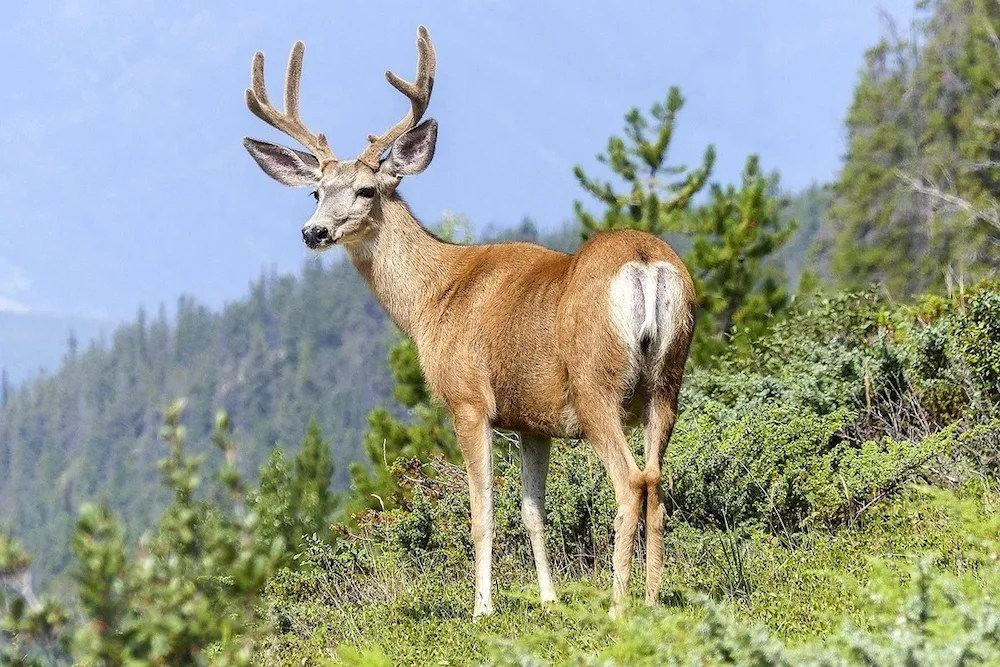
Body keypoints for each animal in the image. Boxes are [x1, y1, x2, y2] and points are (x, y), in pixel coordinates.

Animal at [241, 27, 696, 620]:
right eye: (316, 191)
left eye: (366, 190)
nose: (313, 231)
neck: (433, 298)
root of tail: (645, 263)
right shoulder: (532, 421)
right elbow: (532, 511)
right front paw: (549, 600)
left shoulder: (468, 399)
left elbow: (483, 513)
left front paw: (482, 608)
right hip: (667, 378)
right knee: (658, 482)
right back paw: (653, 601)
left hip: (597, 381)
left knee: (631, 482)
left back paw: (619, 607)